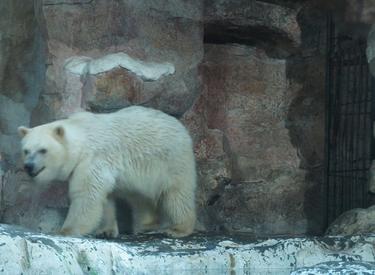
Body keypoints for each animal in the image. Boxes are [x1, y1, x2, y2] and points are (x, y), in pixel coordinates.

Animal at [17, 106, 197, 238]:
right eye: (26, 150)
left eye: (43, 150)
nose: (28, 166)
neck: (82, 137)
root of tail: (180, 126)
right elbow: (104, 199)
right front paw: (106, 230)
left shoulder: (93, 160)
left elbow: (87, 195)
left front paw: (65, 230)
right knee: (140, 197)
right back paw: (145, 225)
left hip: (171, 160)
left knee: (177, 193)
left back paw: (178, 228)